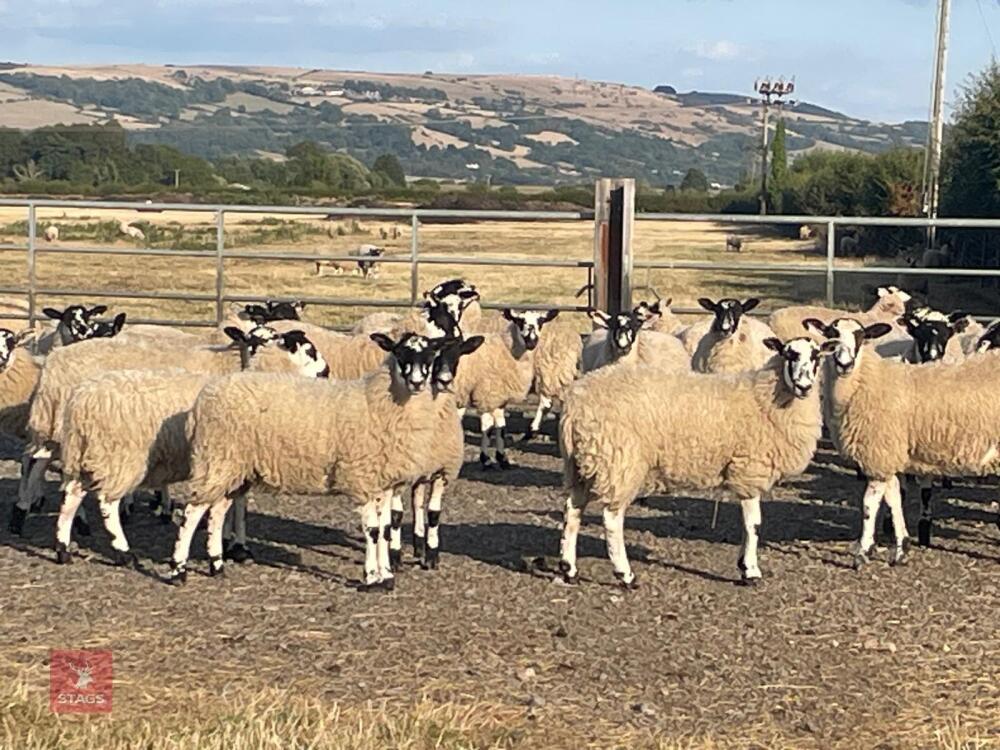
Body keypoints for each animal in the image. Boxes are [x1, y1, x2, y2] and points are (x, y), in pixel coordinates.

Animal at [54, 330, 331, 567]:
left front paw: (228, 542)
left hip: (93, 454)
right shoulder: (232, 459)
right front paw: (236, 546)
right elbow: (238, 506)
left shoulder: (234, 464)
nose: (327, 371)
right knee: (106, 502)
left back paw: (63, 548)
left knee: (73, 493)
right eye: (310, 351)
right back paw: (123, 552)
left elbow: (233, 504)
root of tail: (81, 401)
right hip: (120, 457)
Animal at [172, 333, 451, 590]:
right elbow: (372, 530)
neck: (378, 402)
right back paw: (178, 570)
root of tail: (204, 398)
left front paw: (387, 575)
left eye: (430, 355)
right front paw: (372, 577)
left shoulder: (383, 483)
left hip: (233, 469)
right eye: (400, 353)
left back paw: (217, 565)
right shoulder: (362, 477)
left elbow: (384, 530)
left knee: (216, 511)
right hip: (217, 459)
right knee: (192, 511)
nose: (417, 382)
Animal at [558, 335, 832, 586]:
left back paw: (569, 568)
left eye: (817, 355)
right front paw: (751, 571)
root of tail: (574, 403)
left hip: (582, 463)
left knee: (573, 509)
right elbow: (753, 525)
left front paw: (743, 565)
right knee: (611, 518)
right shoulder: (749, 470)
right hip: (619, 460)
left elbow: (747, 526)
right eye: (789, 354)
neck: (763, 398)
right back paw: (625, 575)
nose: (804, 386)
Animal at [810, 316, 1000, 568]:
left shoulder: (878, 453)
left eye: (861, 336)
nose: (844, 363)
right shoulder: (890, 455)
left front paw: (862, 552)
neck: (866, 381)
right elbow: (894, 499)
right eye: (831, 334)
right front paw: (901, 549)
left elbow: (869, 503)